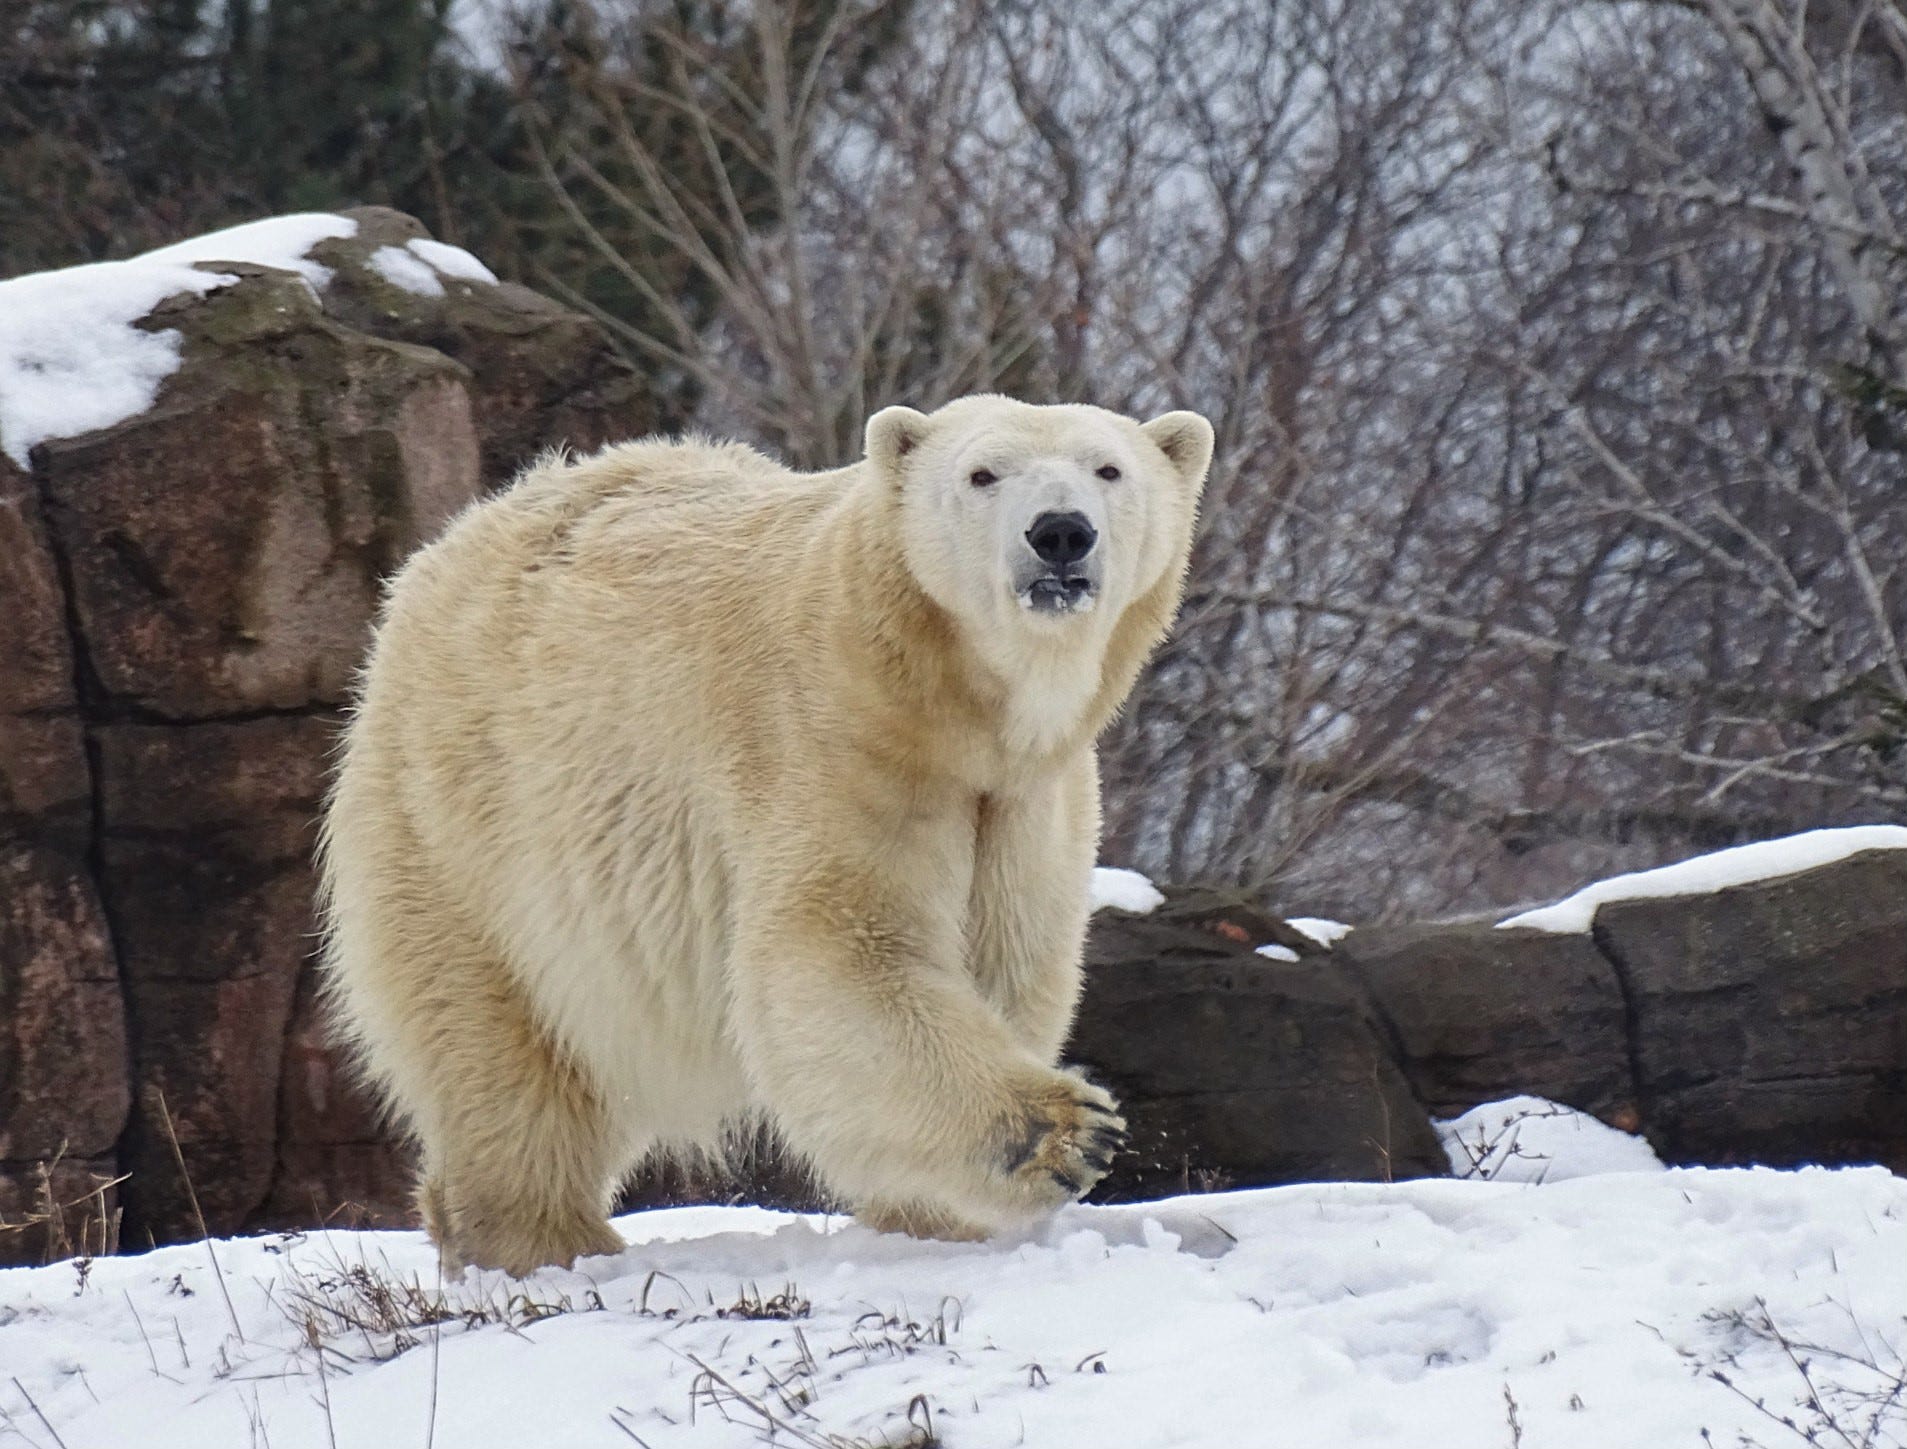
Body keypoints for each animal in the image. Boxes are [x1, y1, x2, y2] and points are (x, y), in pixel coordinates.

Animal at [312, 392, 1205, 1265]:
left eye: (1107, 468)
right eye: (982, 473)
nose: (1060, 531)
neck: (952, 702)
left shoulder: (1021, 798)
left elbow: (1004, 960)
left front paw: (940, 1217)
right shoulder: (832, 742)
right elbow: (839, 953)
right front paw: (1068, 1133)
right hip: (465, 813)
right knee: (493, 1036)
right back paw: (535, 1233)